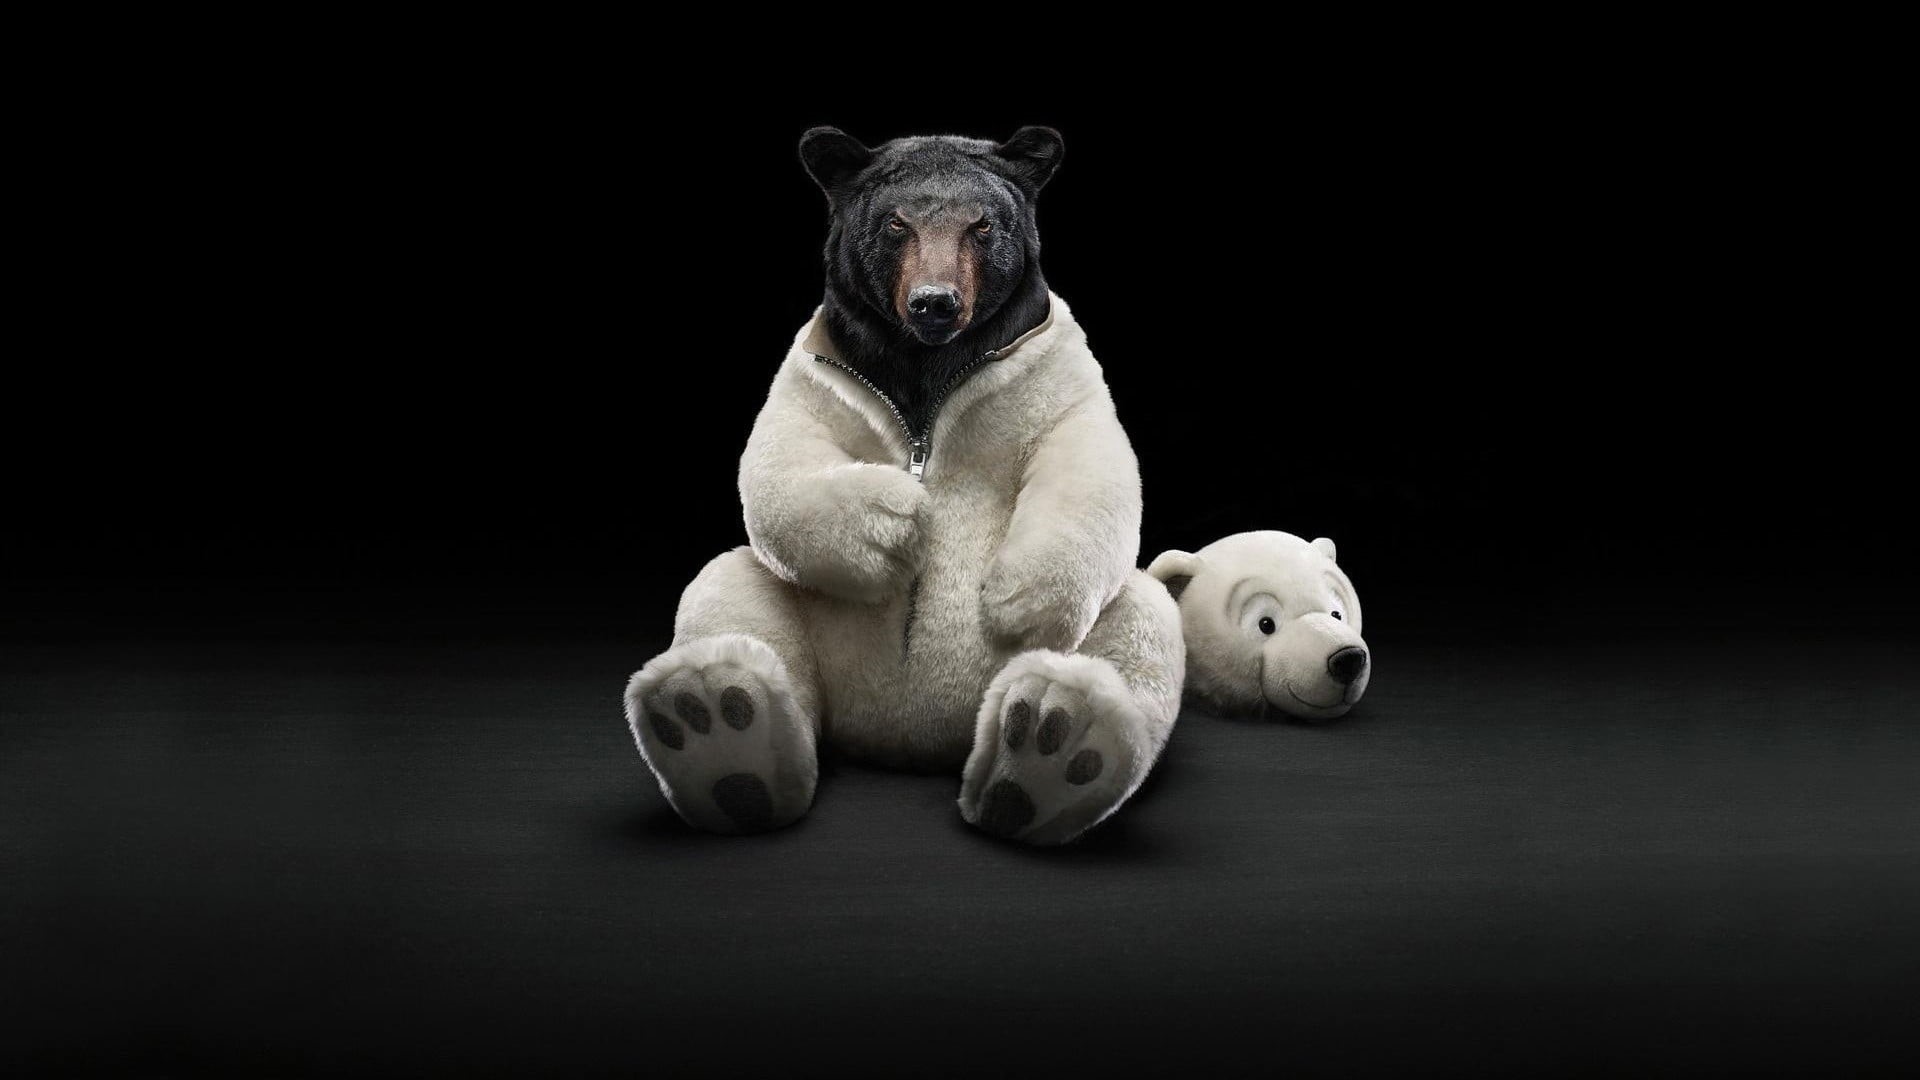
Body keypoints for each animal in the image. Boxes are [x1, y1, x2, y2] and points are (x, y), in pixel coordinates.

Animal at [623, 126, 1185, 846]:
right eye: (896, 223)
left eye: (982, 225)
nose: (935, 302)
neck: (926, 364)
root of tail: (907, 741)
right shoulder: (817, 374)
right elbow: (781, 459)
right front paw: (896, 522)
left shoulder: (1053, 371)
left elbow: (1087, 457)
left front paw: (1016, 599)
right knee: (732, 592)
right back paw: (717, 728)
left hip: (1105, 629)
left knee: (1136, 622)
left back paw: (1050, 749)